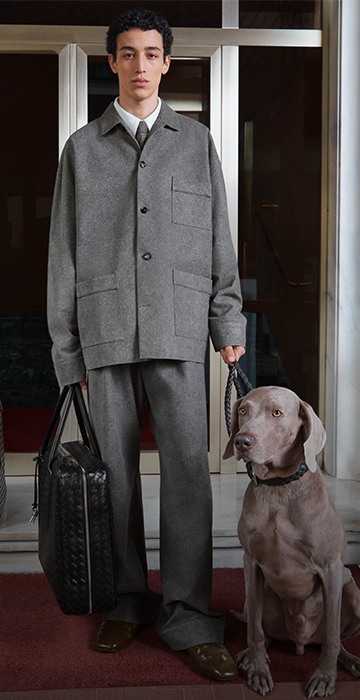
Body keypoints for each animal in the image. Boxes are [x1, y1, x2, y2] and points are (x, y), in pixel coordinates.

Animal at [224, 386, 358, 696]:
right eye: (243, 410)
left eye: (276, 413)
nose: (241, 440)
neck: (279, 489)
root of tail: (300, 641)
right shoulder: (251, 562)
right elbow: (254, 630)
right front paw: (259, 669)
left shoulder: (331, 568)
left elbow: (332, 635)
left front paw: (324, 677)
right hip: (258, 596)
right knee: (264, 630)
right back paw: (251, 656)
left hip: (352, 589)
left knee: (334, 639)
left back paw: (349, 660)